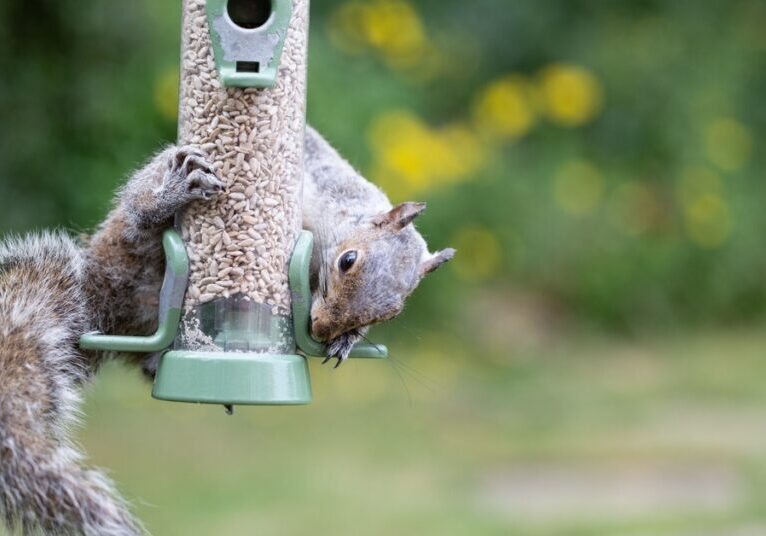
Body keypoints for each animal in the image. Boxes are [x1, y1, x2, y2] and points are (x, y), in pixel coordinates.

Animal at [0, 129, 453, 535]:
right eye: (348, 260)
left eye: (392, 313)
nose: (322, 328)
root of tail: (97, 305)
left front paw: (346, 341)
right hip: (129, 256)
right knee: (137, 217)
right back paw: (166, 195)